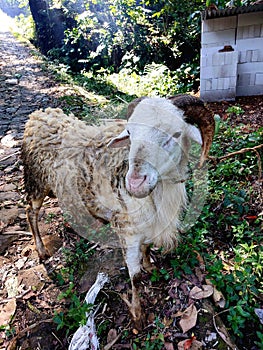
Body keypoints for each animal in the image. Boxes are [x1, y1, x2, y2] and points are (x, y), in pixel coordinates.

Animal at [21, 94, 216, 326]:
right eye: (130, 133)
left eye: (176, 134)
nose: (135, 183)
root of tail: (38, 115)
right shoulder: (127, 230)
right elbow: (135, 276)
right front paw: (138, 315)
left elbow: (146, 247)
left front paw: (149, 265)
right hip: (36, 182)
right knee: (30, 212)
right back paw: (41, 250)